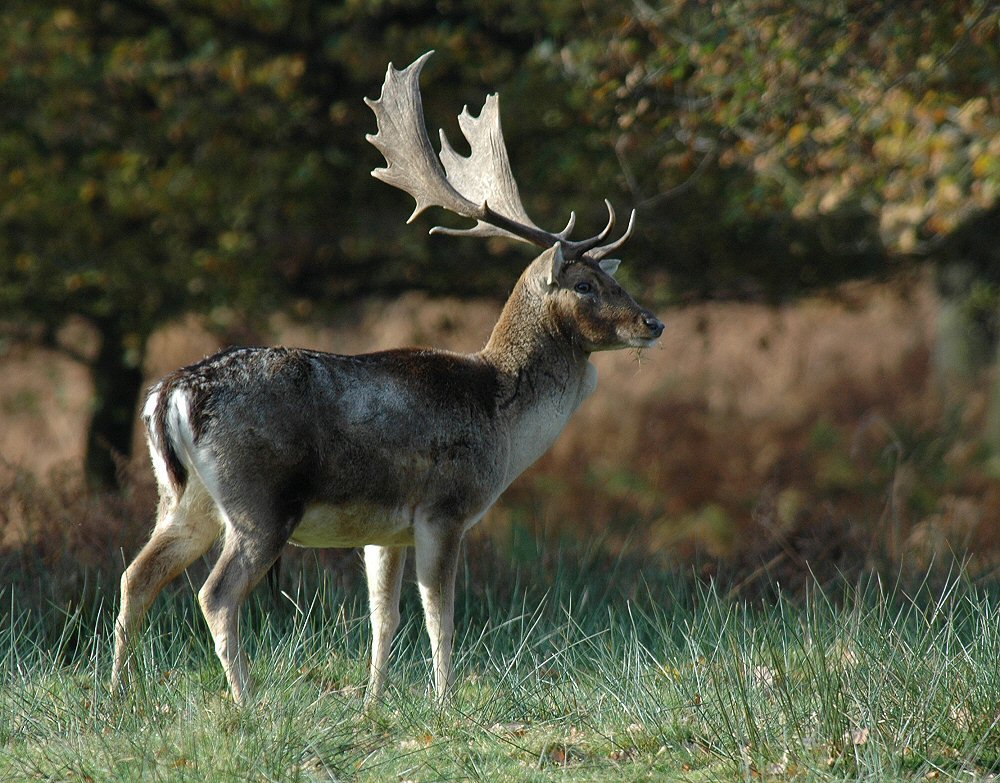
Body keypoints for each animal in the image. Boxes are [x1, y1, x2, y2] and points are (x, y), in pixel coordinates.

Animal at [111, 52, 664, 708]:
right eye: (584, 285)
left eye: (613, 278)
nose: (653, 322)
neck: (501, 420)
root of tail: (170, 395)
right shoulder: (444, 506)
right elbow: (439, 616)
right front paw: (445, 702)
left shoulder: (384, 531)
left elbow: (384, 617)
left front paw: (374, 700)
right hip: (259, 501)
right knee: (215, 594)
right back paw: (245, 701)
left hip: (182, 498)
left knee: (136, 574)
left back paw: (115, 697)